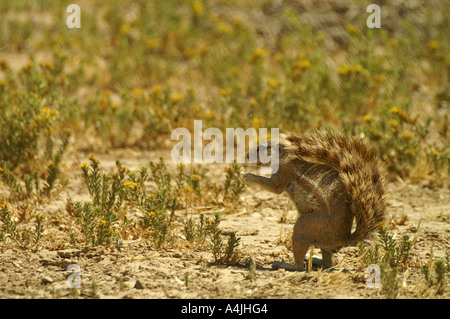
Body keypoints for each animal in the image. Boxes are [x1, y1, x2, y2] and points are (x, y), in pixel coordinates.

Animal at [244, 129, 388, 272]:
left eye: (261, 147)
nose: (246, 156)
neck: (286, 157)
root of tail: (344, 239)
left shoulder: (284, 173)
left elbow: (274, 187)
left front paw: (248, 176)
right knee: (329, 262)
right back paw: (315, 260)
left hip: (304, 225)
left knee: (299, 266)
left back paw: (284, 264)